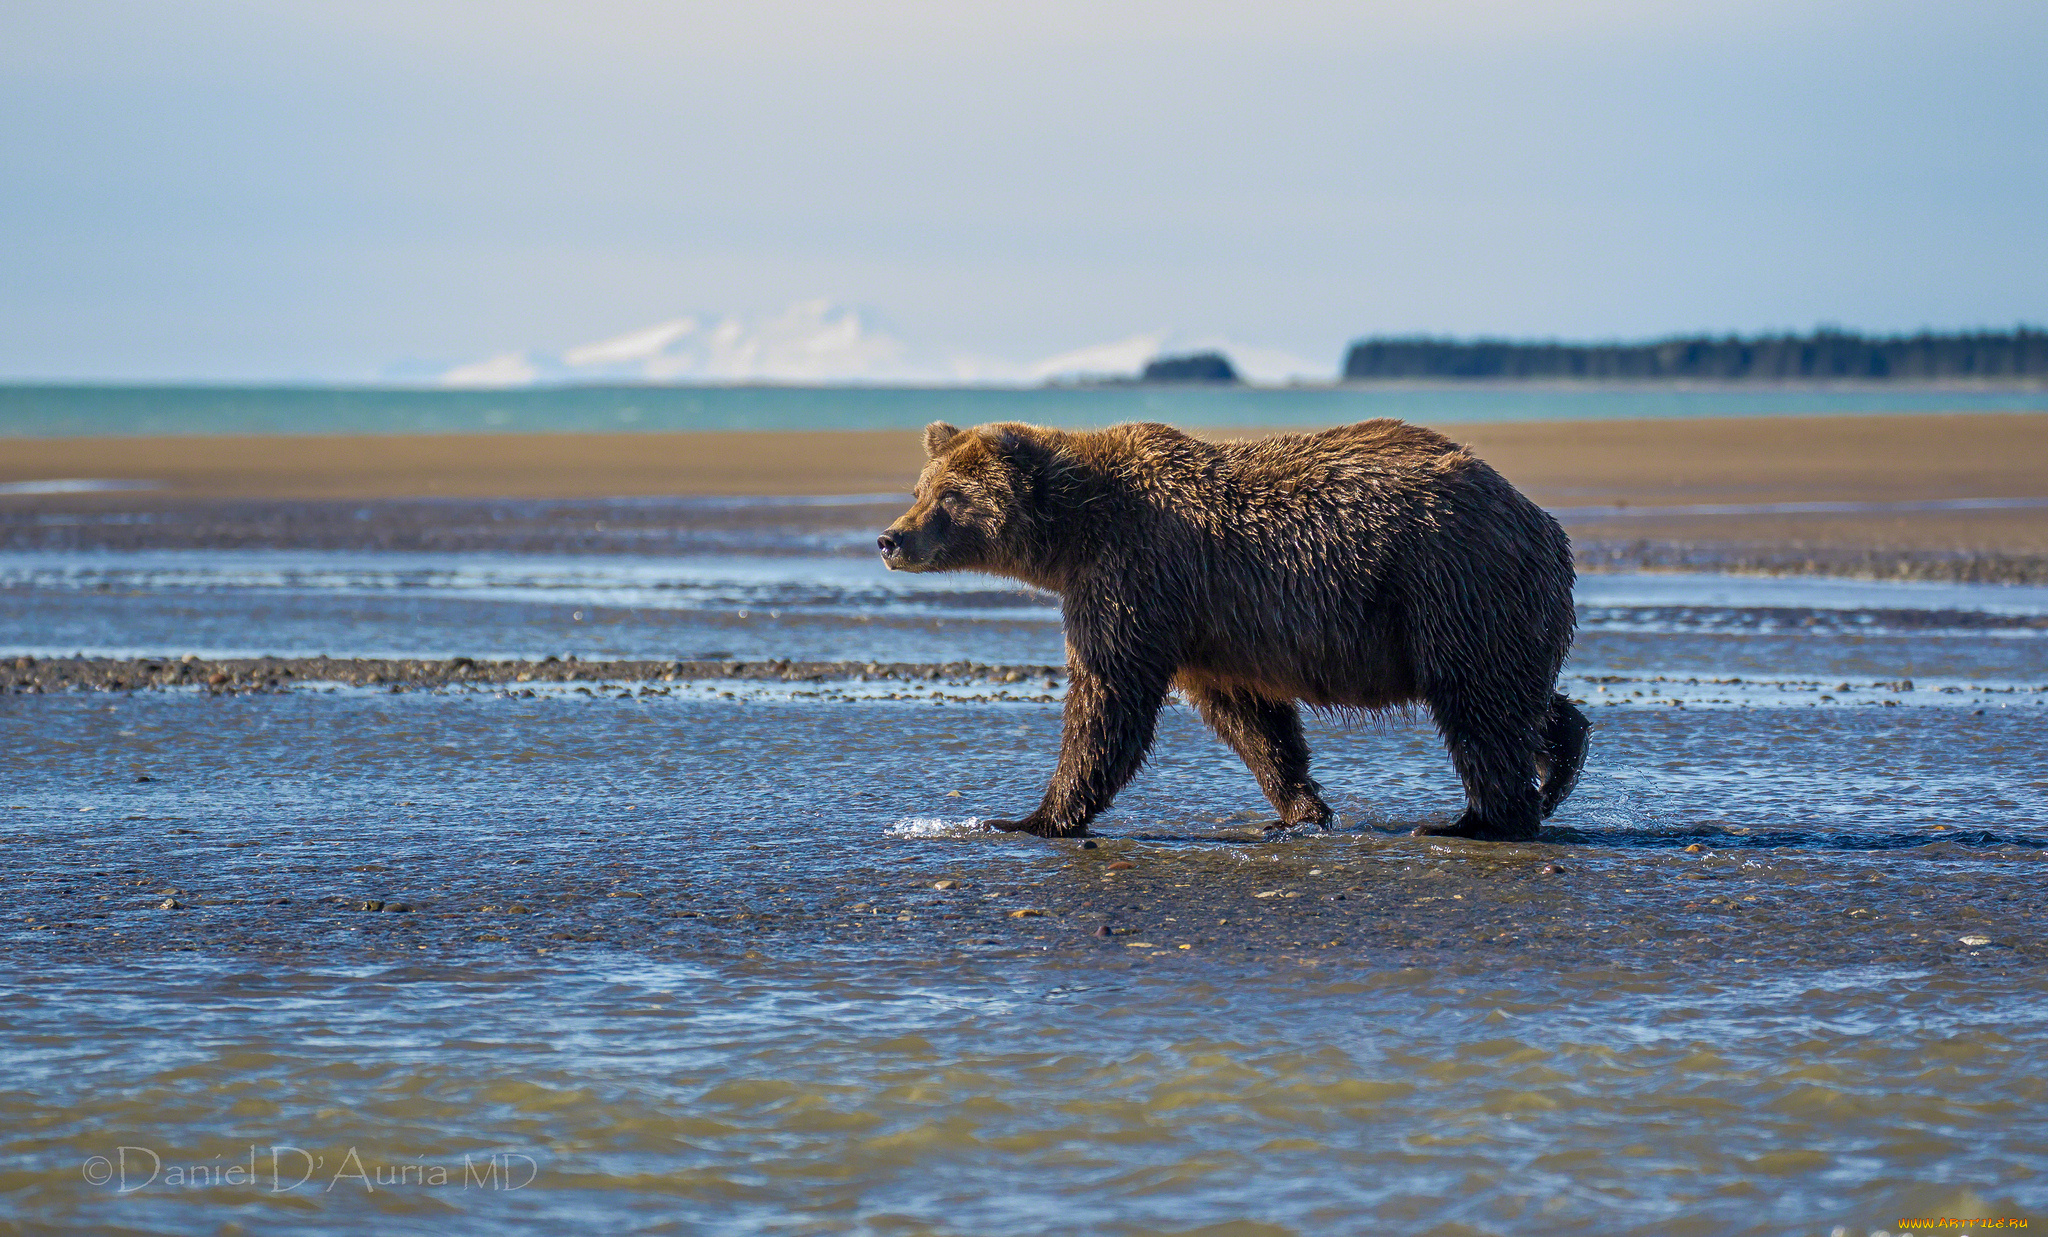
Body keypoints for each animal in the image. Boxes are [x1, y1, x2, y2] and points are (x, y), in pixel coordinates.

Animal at [876, 417, 1581, 839]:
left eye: (950, 496)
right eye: (920, 488)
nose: (890, 538)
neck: (1076, 532)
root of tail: (1540, 521)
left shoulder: (1138, 577)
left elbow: (1108, 696)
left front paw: (1033, 818)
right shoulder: (1205, 624)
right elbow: (1250, 719)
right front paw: (1298, 810)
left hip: (1451, 582)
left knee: (1477, 703)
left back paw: (1477, 820)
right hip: (1490, 605)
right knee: (1514, 693)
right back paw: (1559, 764)